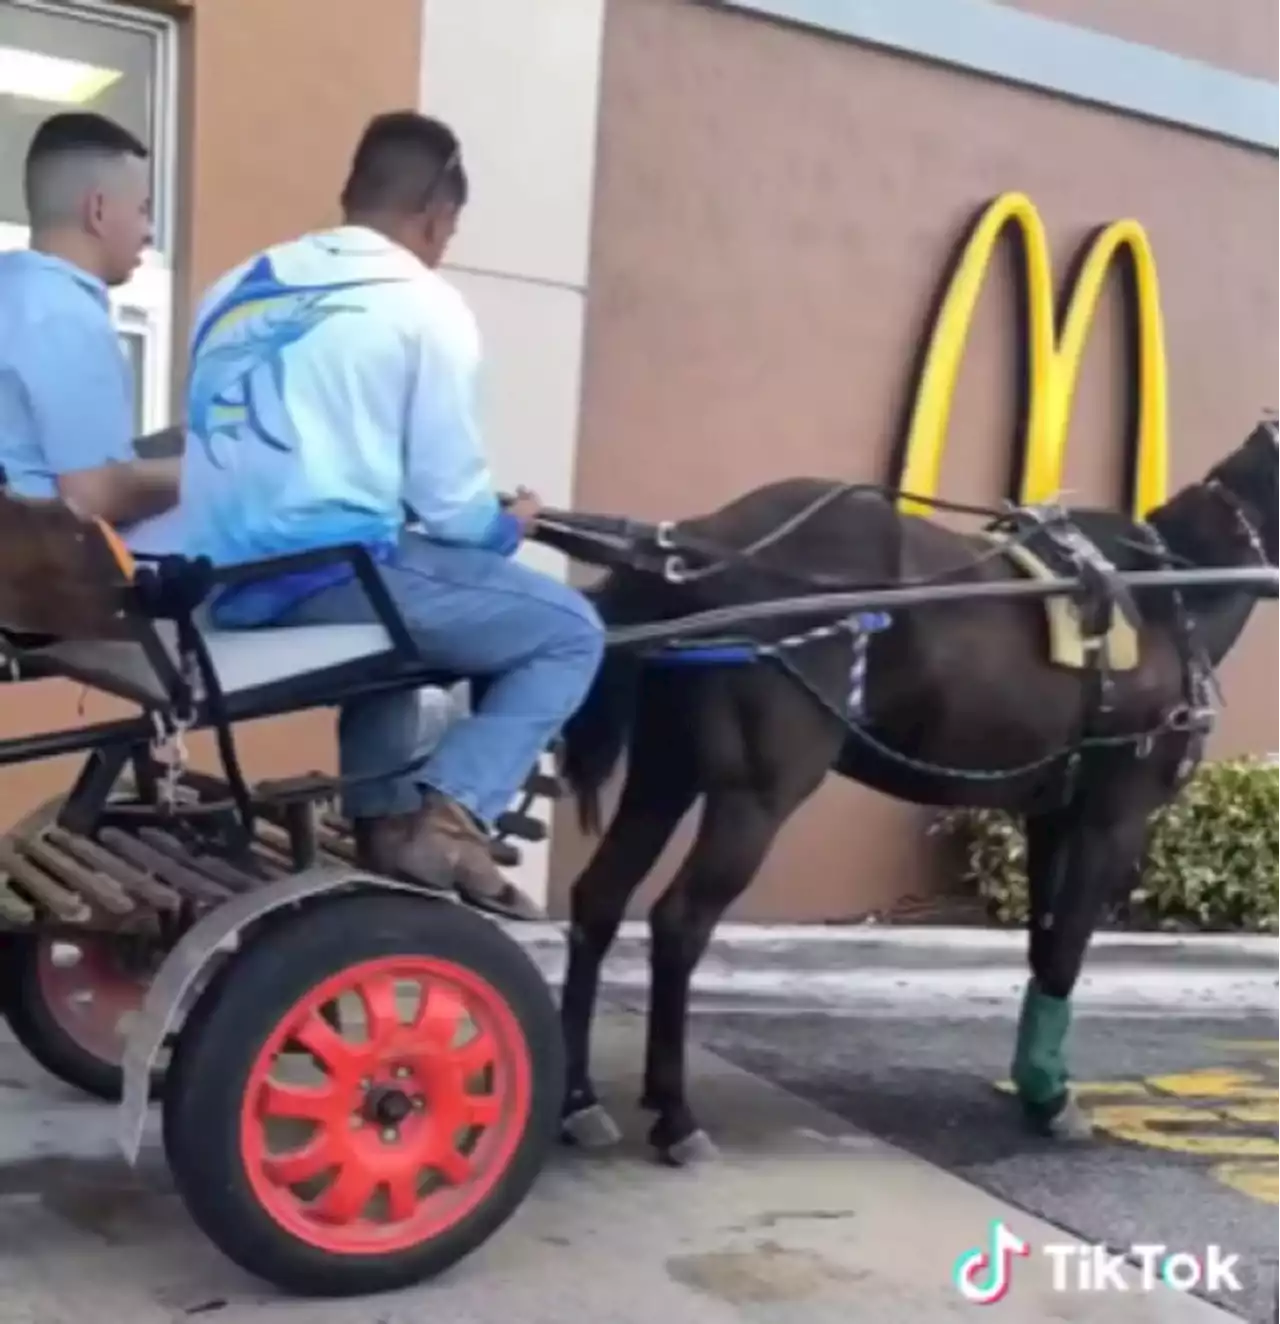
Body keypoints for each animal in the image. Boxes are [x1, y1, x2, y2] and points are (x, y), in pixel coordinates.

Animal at [537, 418, 1280, 1165]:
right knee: (680, 921)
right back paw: (676, 1113)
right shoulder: (1113, 817)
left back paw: (577, 1100)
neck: (1166, 596)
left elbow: (1044, 949)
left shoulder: (1050, 816)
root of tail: (700, 545)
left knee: (600, 900)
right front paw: (1053, 1098)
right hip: (757, 793)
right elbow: (1067, 949)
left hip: (665, 772)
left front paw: (1037, 1084)